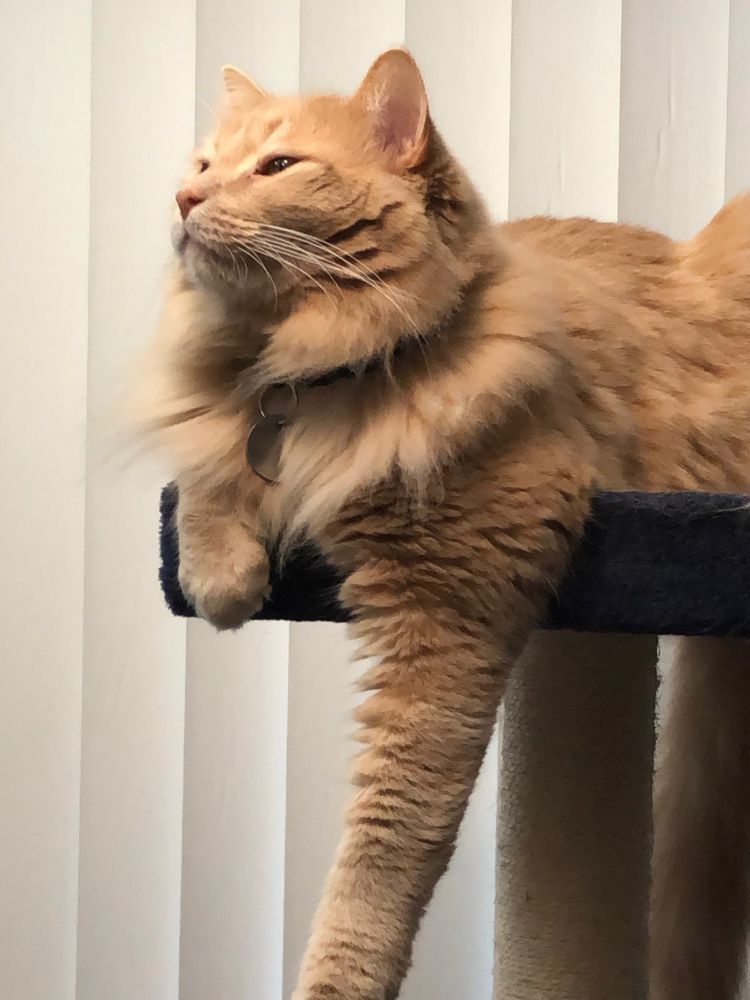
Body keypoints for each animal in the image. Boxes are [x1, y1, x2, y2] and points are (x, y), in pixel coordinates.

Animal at [132, 48, 750, 1000]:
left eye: (278, 166)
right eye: (203, 164)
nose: (184, 199)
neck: (320, 371)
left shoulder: (445, 615)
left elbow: (383, 852)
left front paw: (334, 985)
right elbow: (204, 474)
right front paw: (220, 580)